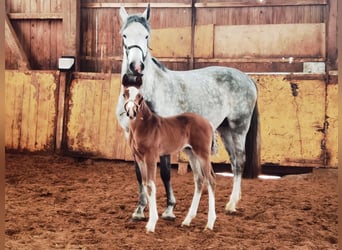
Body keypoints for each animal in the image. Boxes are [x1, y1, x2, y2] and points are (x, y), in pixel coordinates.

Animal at [115, 4, 260, 221]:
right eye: (124, 35)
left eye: (147, 36)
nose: (135, 67)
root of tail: (247, 78)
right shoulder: (130, 137)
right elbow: (139, 173)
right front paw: (140, 210)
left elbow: (165, 172)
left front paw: (169, 209)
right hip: (224, 129)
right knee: (234, 162)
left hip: (239, 127)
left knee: (240, 161)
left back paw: (232, 204)